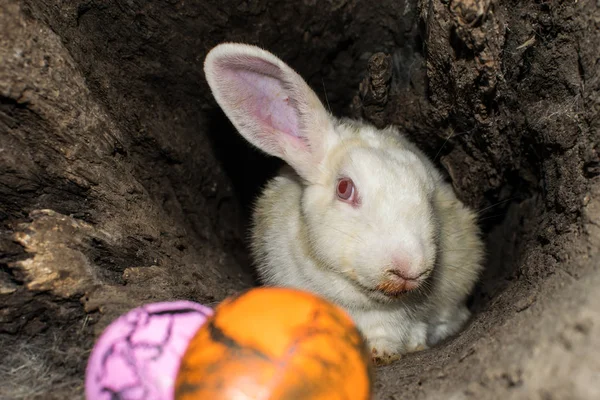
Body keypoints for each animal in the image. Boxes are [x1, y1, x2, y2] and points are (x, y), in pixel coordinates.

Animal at [204, 43, 486, 362]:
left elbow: (389, 332)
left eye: (429, 191)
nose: (410, 267)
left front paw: (382, 353)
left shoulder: (396, 316)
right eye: (344, 188)